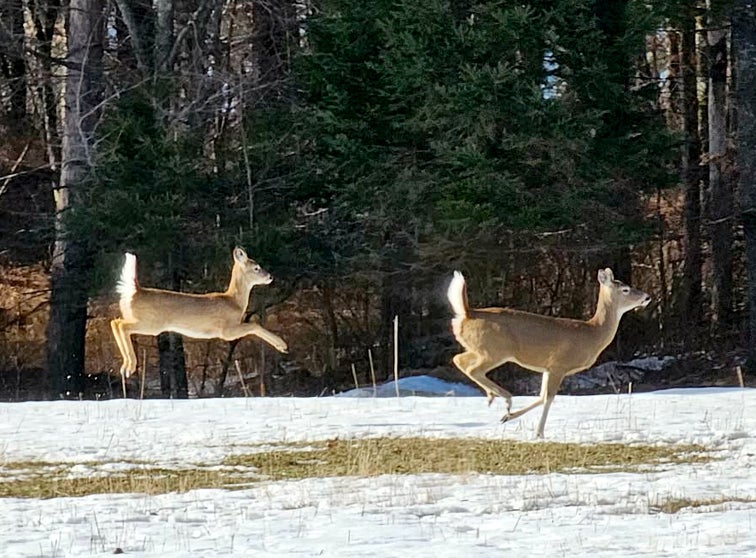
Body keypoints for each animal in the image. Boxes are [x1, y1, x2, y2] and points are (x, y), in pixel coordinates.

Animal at [110, 247, 288, 379]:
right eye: (256, 268)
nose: (270, 277)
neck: (235, 302)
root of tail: (135, 291)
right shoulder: (227, 330)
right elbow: (254, 325)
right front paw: (282, 345)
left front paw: (281, 347)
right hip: (151, 323)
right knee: (121, 325)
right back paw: (130, 366)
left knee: (115, 322)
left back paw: (124, 367)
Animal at [447, 268, 651, 438]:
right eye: (625, 289)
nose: (647, 297)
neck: (593, 334)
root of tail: (467, 313)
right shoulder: (559, 364)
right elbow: (549, 398)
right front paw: (539, 433)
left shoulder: (547, 367)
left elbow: (541, 396)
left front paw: (508, 417)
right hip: (495, 349)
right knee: (472, 368)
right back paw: (505, 398)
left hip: (481, 348)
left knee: (459, 359)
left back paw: (494, 397)